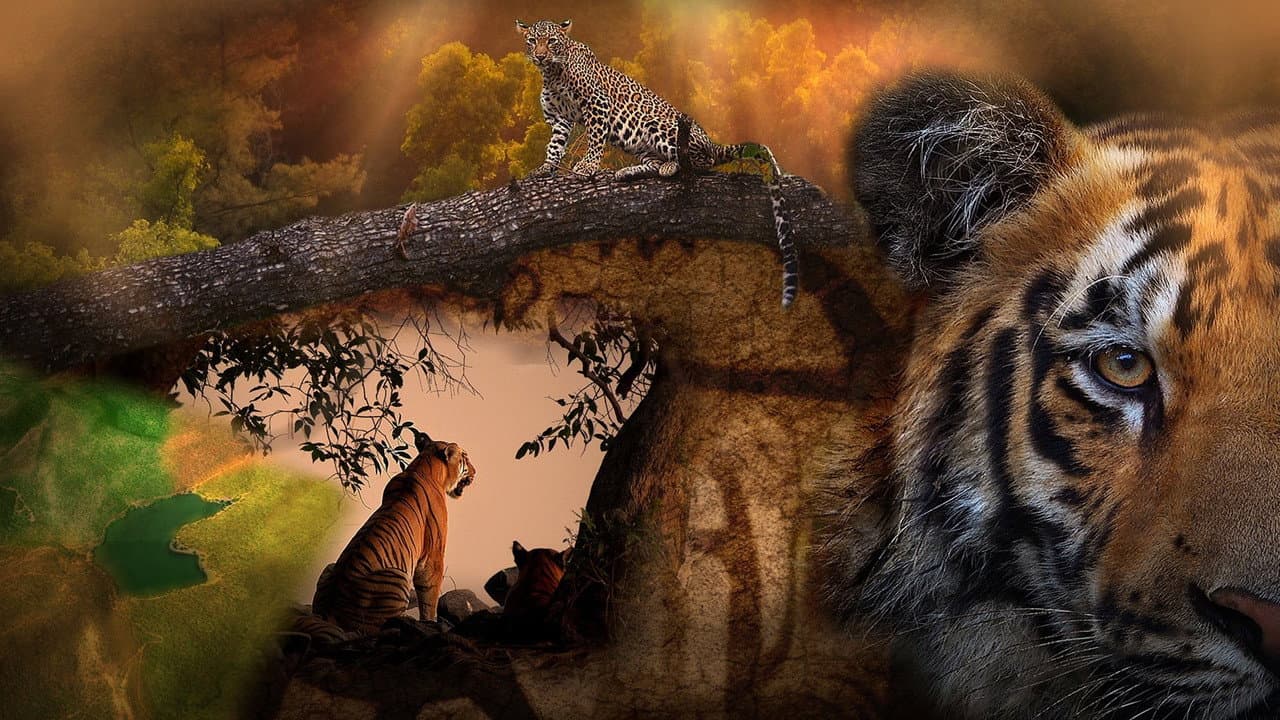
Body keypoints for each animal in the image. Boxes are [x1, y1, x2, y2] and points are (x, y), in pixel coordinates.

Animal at [310, 434, 475, 635]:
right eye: (465, 457)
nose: (475, 472)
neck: (423, 466)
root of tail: (330, 610)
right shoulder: (433, 557)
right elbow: (430, 597)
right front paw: (430, 621)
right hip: (397, 577)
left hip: (330, 566)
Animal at [515, 18, 799, 309]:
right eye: (532, 41)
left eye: (551, 41)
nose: (540, 56)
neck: (552, 73)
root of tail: (710, 140)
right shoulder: (559, 119)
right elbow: (554, 146)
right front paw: (545, 169)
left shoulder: (597, 103)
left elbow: (595, 139)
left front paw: (587, 167)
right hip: (640, 144)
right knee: (655, 162)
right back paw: (630, 171)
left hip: (660, 125)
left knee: (702, 161)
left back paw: (672, 166)